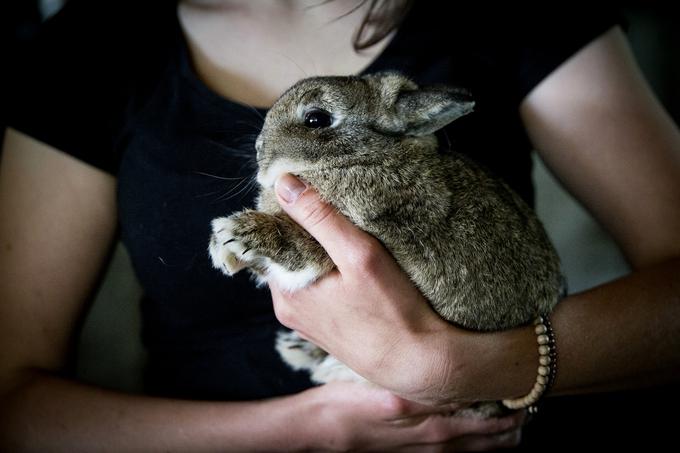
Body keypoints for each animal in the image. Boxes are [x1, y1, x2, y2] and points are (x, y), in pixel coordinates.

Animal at [207, 71, 564, 416]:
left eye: (315, 119)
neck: (362, 156)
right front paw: (221, 250)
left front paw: (234, 236)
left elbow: (297, 249)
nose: (258, 149)